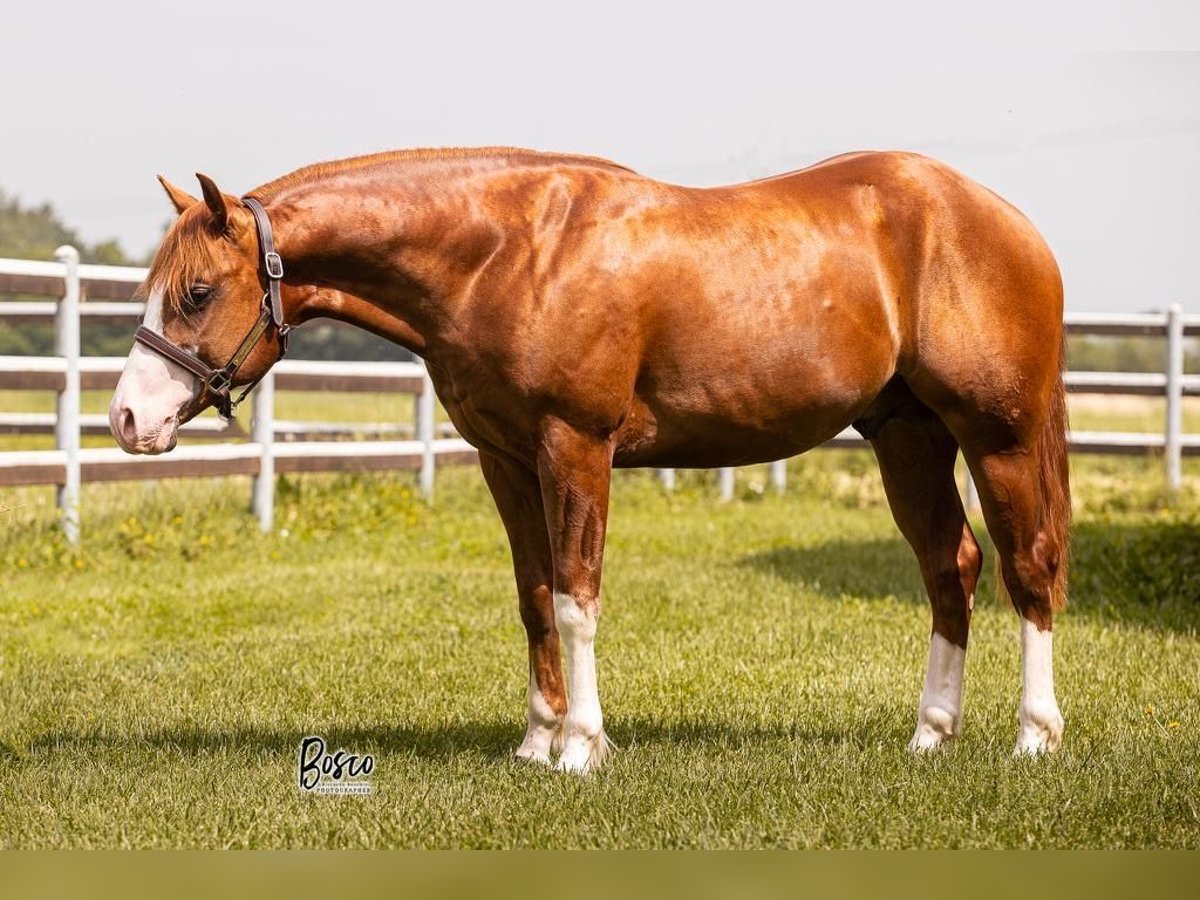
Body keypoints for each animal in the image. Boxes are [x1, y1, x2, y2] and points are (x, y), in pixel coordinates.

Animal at [110, 148, 1070, 777]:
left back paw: (1034, 734)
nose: (126, 419)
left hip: (998, 437)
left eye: (197, 291)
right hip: (908, 435)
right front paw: (537, 741)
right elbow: (535, 596)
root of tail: (1009, 221)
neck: (507, 255)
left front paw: (581, 747)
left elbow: (577, 599)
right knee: (951, 568)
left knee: (1027, 569)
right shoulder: (505, 461)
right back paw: (931, 733)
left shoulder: (575, 448)